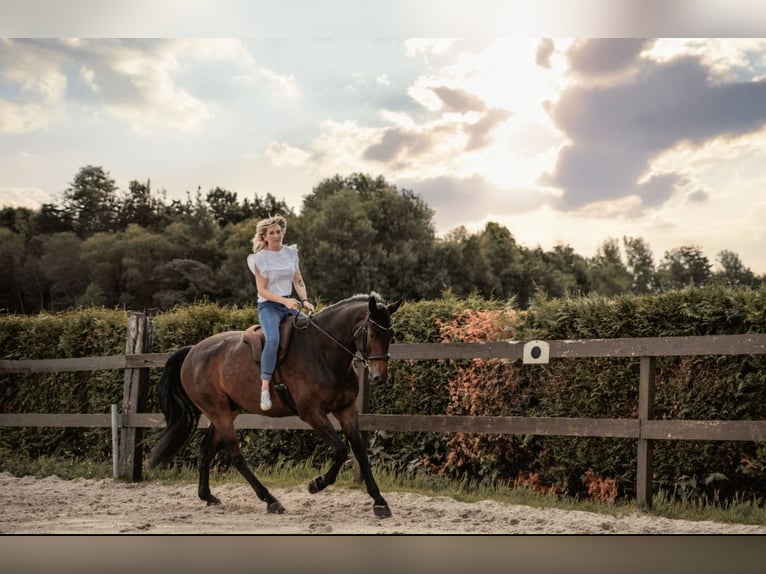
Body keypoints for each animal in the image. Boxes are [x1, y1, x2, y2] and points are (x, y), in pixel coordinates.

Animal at [148, 292, 402, 518]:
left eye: (390, 333)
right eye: (373, 332)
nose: (379, 377)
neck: (323, 351)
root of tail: (193, 351)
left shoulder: (346, 409)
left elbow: (359, 451)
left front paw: (379, 502)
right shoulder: (312, 413)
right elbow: (340, 450)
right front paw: (317, 483)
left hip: (226, 412)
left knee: (207, 449)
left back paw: (207, 496)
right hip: (218, 412)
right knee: (235, 456)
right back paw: (270, 500)